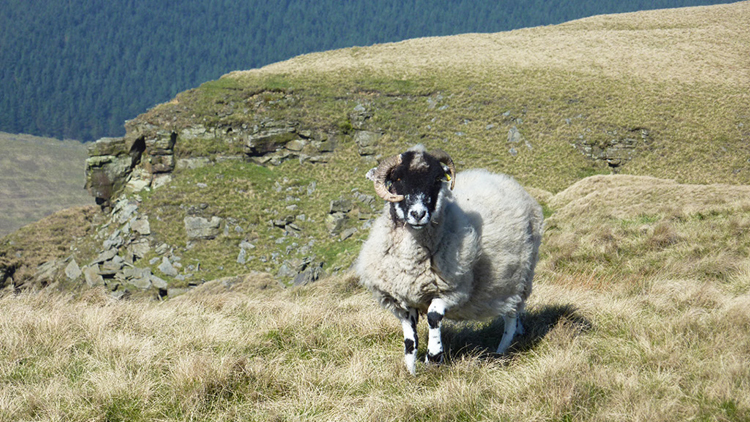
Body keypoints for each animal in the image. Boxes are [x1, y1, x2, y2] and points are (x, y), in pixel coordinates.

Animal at [356, 144, 544, 372]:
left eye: (437, 179)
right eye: (397, 179)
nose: (418, 214)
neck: (410, 261)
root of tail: (505, 180)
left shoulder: (453, 290)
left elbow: (433, 316)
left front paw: (434, 357)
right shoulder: (401, 300)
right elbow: (409, 340)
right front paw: (411, 371)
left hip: (520, 277)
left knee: (511, 314)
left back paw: (502, 351)